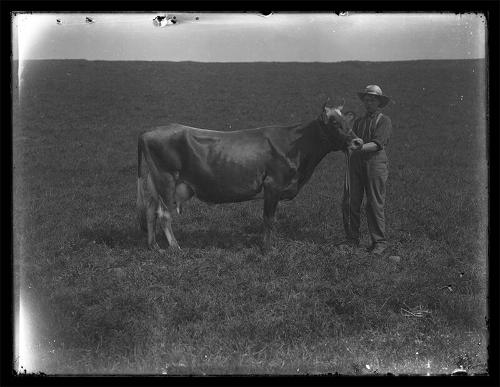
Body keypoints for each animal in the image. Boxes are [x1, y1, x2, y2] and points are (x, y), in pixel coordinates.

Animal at [137, 102, 364, 255]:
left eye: (349, 121)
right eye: (334, 122)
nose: (358, 142)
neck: (297, 145)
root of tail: (149, 131)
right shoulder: (272, 185)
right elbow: (268, 219)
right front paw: (267, 249)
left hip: (155, 182)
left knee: (150, 211)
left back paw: (154, 246)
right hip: (166, 180)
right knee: (164, 215)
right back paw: (176, 248)